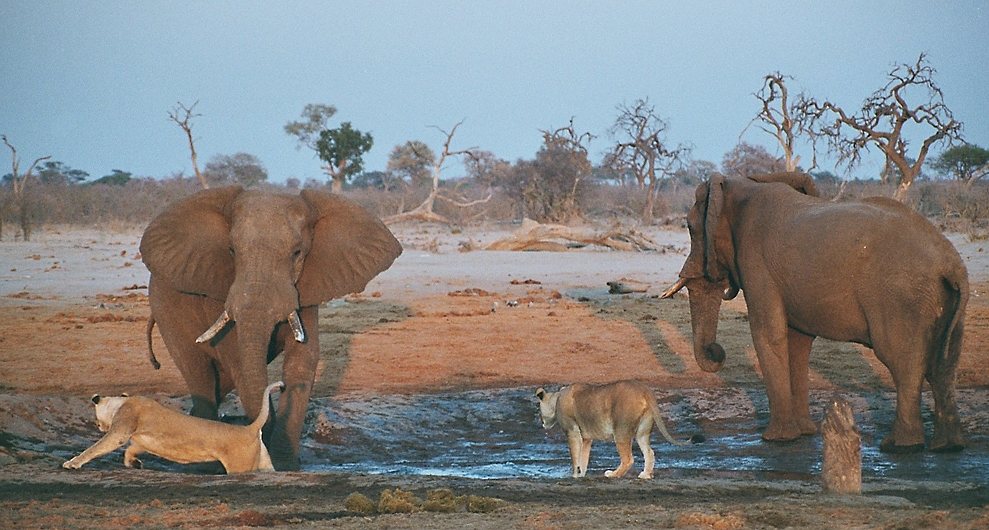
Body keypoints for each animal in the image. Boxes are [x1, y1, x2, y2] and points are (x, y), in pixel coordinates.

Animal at [140, 185, 402, 466]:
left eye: (297, 253)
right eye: (231, 251)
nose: (277, 386)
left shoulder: (306, 285)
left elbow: (303, 360)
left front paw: (285, 464)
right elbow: (239, 362)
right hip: (165, 311)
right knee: (199, 374)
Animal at [660, 172, 968, 450]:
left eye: (689, 227)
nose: (717, 351)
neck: (741, 185)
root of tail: (951, 263)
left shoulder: (756, 262)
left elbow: (767, 334)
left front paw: (776, 440)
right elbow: (798, 343)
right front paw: (804, 434)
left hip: (901, 298)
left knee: (904, 362)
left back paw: (900, 446)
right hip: (941, 300)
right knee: (943, 365)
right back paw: (947, 446)